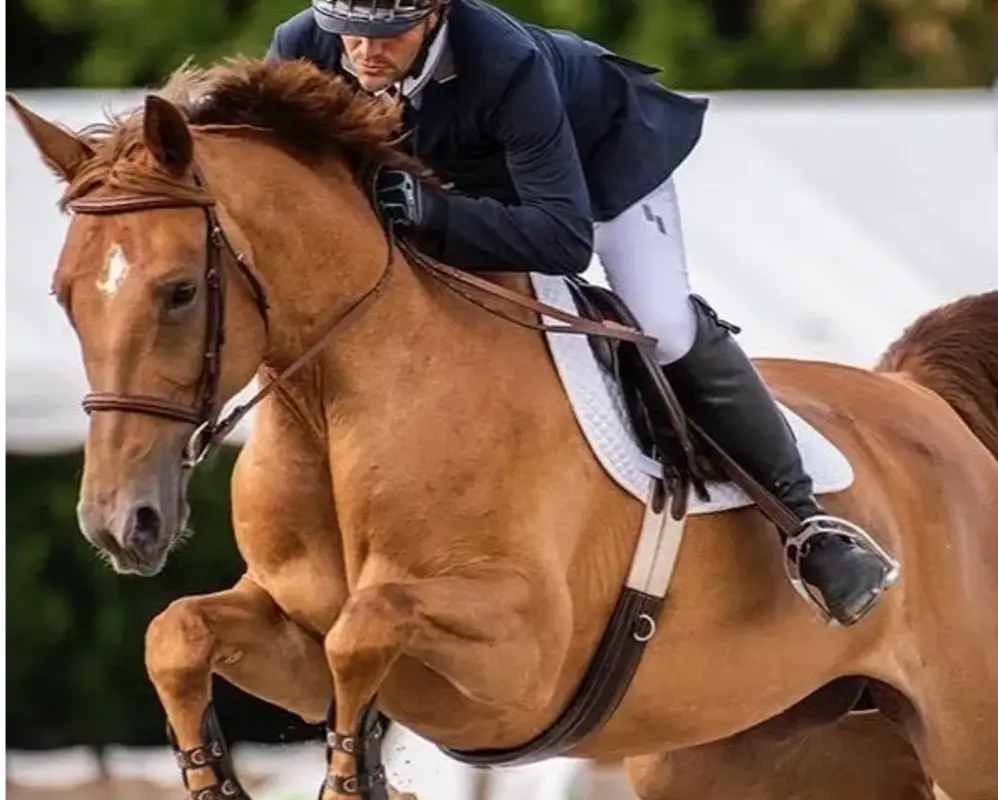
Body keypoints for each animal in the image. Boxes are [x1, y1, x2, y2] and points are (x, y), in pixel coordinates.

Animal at [6, 56, 997, 800]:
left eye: (178, 291)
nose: (119, 524)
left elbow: (365, 625)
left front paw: (355, 779)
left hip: (962, 739)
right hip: (753, 748)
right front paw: (224, 779)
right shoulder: (293, 636)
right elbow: (178, 633)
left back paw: (841, 562)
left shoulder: (519, 670)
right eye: (63, 296)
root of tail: (924, 401)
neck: (336, 405)